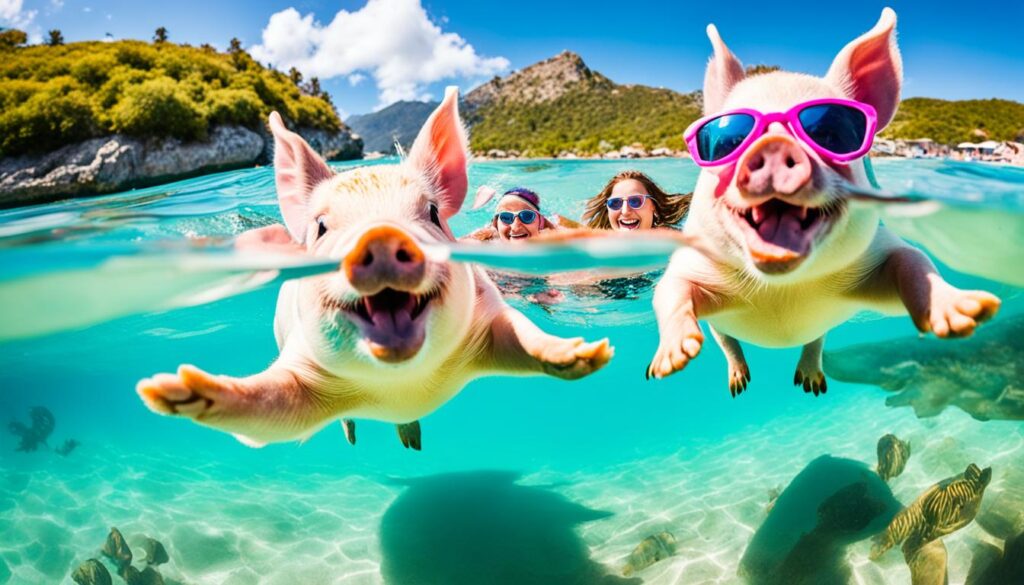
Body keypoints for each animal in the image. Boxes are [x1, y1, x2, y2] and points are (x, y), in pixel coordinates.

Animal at [137, 88, 613, 448]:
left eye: (433, 213)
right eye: (321, 228)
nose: (381, 236)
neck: (402, 386)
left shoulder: (486, 320)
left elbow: (518, 333)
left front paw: (588, 353)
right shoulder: (303, 366)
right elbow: (272, 409)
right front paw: (171, 389)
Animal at [647, 9, 1000, 396]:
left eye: (831, 134)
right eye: (728, 142)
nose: (773, 147)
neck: (784, 293)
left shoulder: (874, 256)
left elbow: (914, 262)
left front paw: (972, 313)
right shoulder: (693, 260)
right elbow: (669, 291)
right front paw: (668, 363)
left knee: (815, 341)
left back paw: (810, 385)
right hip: (722, 330)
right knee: (728, 342)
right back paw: (739, 385)